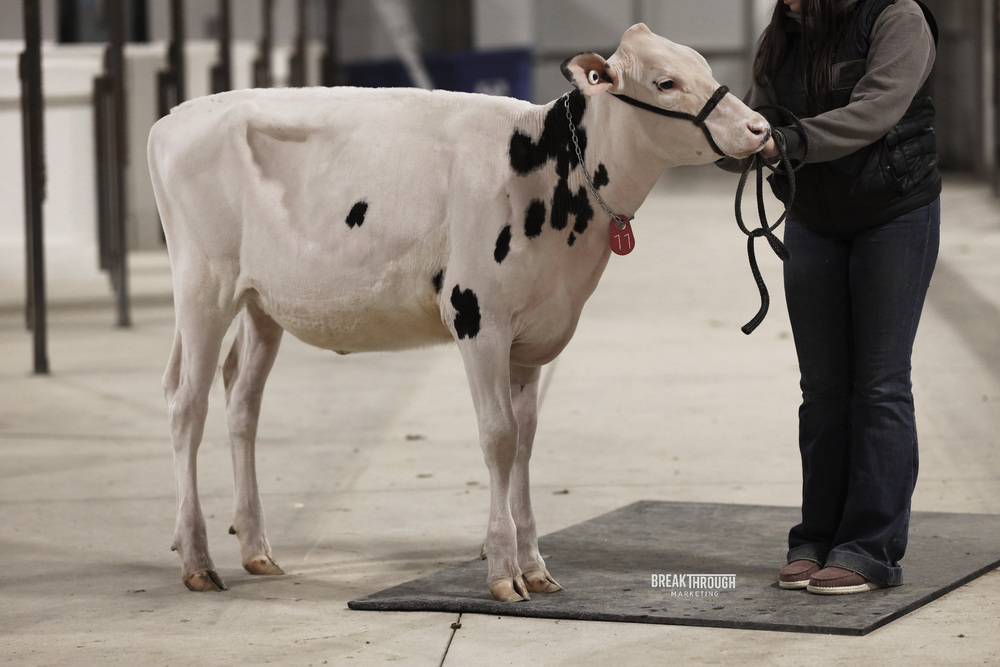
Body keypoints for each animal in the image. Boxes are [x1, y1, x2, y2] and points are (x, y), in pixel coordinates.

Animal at [148, 23, 769, 602]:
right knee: (186, 404)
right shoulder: (479, 319)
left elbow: (526, 439)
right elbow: (498, 437)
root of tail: (176, 116)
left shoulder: (534, 334)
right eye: (666, 82)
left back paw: (255, 549)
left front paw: (535, 566)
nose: (760, 129)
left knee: (241, 402)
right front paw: (503, 572)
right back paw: (197, 559)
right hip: (204, 288)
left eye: (702, 65)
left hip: (261, 304)